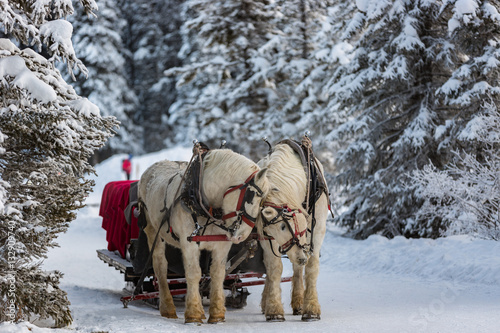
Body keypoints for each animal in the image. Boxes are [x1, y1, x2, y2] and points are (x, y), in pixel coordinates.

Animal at [137, 147, 270, 322]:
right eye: (250, 196)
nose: (242, 236)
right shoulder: (189, 243)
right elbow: (194, 273)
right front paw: (194, 313)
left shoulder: (222, 245)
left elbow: (218, 273)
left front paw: (217, 314)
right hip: (152, 230)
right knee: (160, 266)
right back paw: (167, 308)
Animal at [258, 141, 328, 320]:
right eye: (270, 231)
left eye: (284, 226)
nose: (301, 257)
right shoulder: (265, 238)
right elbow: (274, 268)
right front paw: (274, 309)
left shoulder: (317, 229)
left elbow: (311, 268)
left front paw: (311, 308)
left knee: (298, 269)